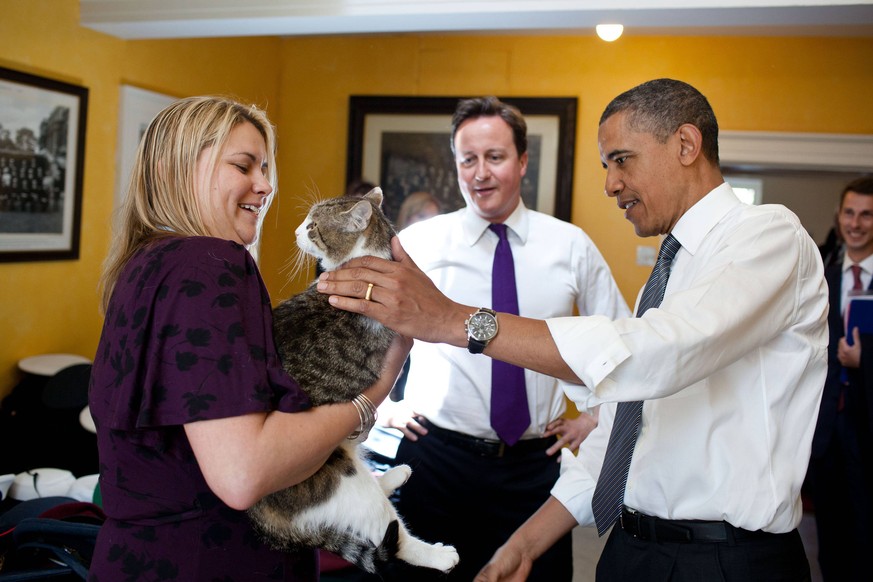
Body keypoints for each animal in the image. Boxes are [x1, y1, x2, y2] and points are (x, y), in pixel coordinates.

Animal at [247, 188, 456, 576]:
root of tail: (261, 514)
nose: (295, 232)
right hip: (345, 482)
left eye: (312, 226)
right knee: (393, 537)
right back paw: (440, 555)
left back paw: (395, 475)